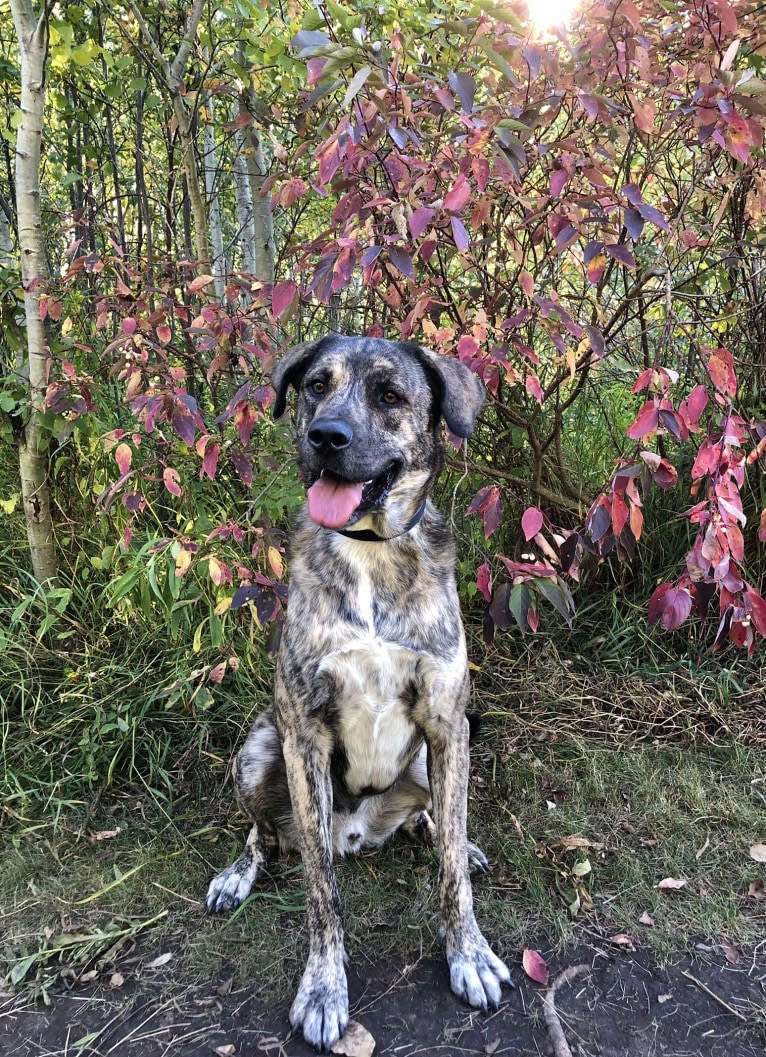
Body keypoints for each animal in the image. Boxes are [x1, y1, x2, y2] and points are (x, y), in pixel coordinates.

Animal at [206, 336, 511, 1048]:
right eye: (317, 385)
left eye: (390, 396)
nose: (326, 436)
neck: (370, 551)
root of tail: (362, 833)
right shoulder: (304, 735)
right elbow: (321, 891)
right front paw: (323, 986)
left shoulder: (446, 722)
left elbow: (452, 873)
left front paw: (470, 953)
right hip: (259, 751)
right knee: (263, 834)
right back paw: (237, 876)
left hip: (435, 756)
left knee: (440, 819)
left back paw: (451, 835)